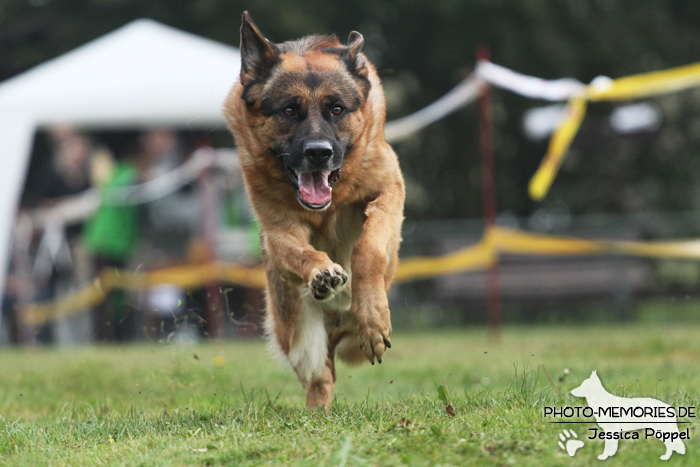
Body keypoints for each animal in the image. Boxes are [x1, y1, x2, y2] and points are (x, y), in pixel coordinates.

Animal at [224, 10, 408, 406]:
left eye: (336, 109)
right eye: (289, 110)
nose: (319, 153)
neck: (331, 202)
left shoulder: (389, 192)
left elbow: (368, 249)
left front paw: (374, 319)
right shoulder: (279, 233)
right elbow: (301, 253)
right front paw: (323, 273)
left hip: (347, 343)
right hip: (298, 332)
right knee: (320, 376)